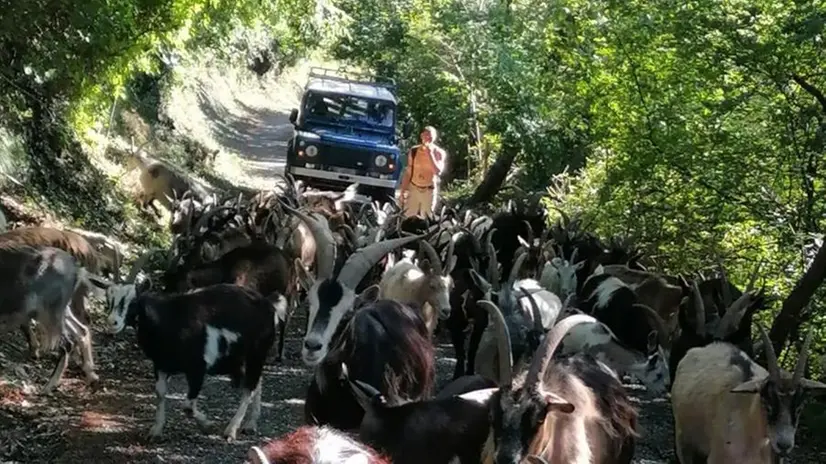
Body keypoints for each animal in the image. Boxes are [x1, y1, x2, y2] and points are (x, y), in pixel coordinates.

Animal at [93, 256, 280, 440]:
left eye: (133, 301)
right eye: (109, 300)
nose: (112, 322)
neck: (168, 319)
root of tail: (267, 304)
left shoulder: (197, 367)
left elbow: (188, 406)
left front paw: (207, 425)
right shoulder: (161, 364)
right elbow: (160, 393)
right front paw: (156, 430)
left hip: (256, 352)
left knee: (249, 387)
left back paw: (232, 429)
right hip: (238, 358)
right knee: (255, 382)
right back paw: (250, 424)